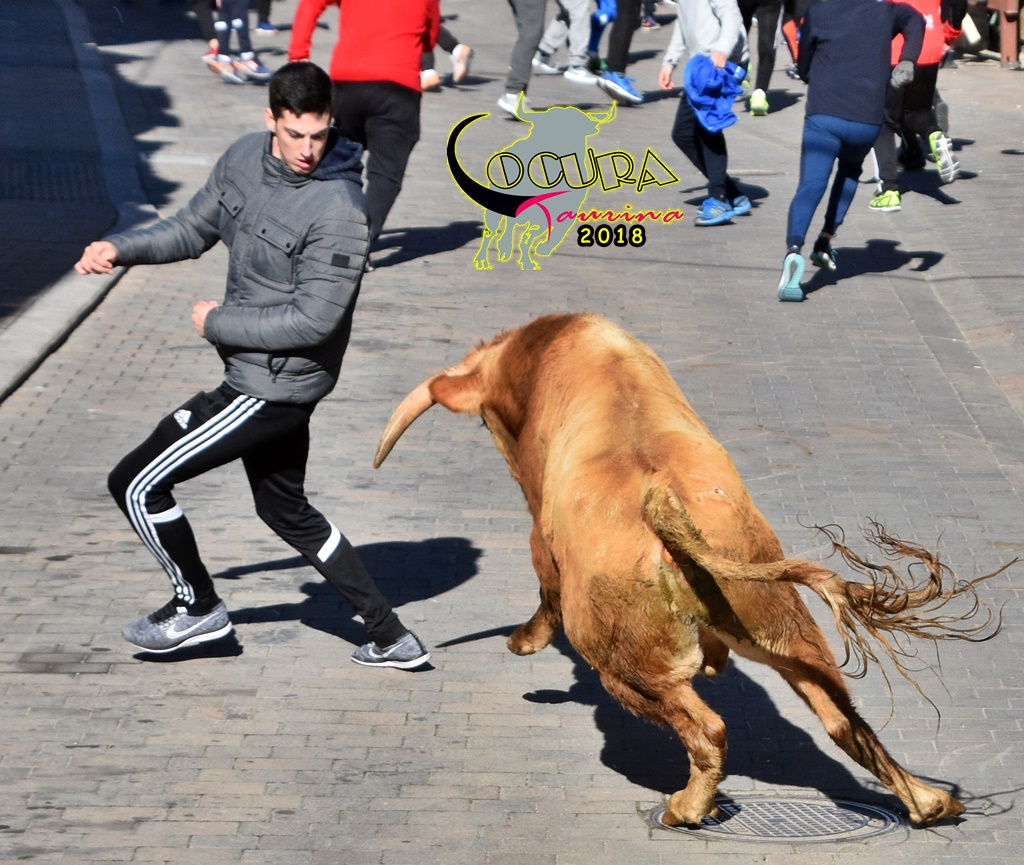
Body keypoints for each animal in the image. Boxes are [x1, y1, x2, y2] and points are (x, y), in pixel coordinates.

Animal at [373, 313, 1007, 827]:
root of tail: (663, 503)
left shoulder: (540, 530)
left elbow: (543, 583)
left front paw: (525, 640)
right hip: (782, 627)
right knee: (842, 719)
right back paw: (930, 803)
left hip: (623, 663)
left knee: (708, 727)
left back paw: (687, 807)